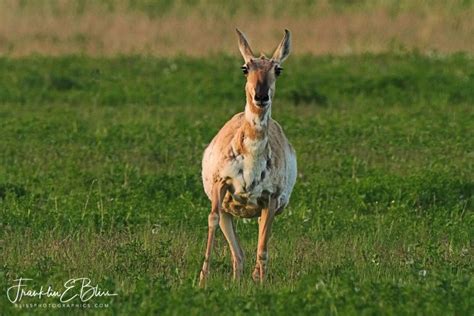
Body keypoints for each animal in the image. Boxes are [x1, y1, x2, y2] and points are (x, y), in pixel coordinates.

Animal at [199, 30, 296, 286]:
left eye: (278, 69)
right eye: (245, 68)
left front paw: (260, 283)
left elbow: (262, 247)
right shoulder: (220, 185)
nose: (260, 96)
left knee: (251, 248)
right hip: (228, 211)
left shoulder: (270, 199)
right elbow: (212, 220)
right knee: (238, 254)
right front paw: (202, 279)